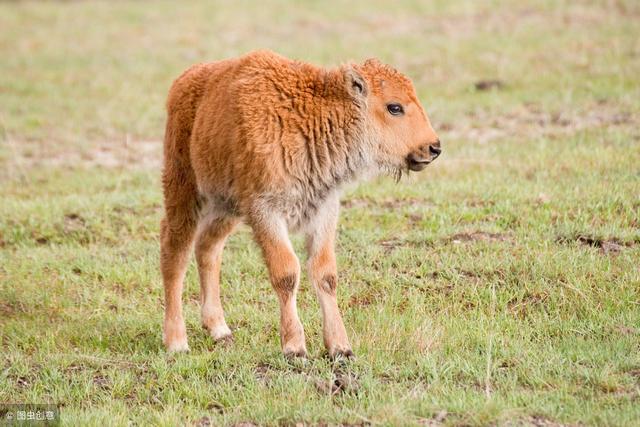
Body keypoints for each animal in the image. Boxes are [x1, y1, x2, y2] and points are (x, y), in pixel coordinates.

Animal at [161, 49, 440, 358]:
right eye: (394, 107)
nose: (434, 148)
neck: (314, 117)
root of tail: (184, 81)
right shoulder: (266, 211)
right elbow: (286, 273)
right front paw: (294, 348)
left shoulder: (324, 209)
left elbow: (325, 274)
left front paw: (340, 349)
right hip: (184, 190)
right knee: (175, 253)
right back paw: (176, 342)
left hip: (227, 206)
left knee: (207, 248)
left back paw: (220, 330)